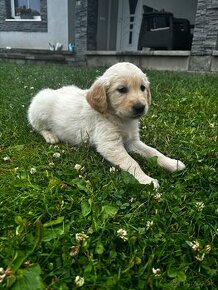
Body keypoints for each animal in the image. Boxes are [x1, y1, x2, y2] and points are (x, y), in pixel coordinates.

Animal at [26, 61, 186, 188]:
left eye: (142, 88)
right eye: (122, 89)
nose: (140, 107)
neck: (119, 118)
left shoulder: (132, 141)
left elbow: (153, 152)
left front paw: (173, 163)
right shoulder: (110, 144)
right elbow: (132, 162)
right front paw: (147, 180)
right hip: (41, 105)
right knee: (37, 126)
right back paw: (50, 135)